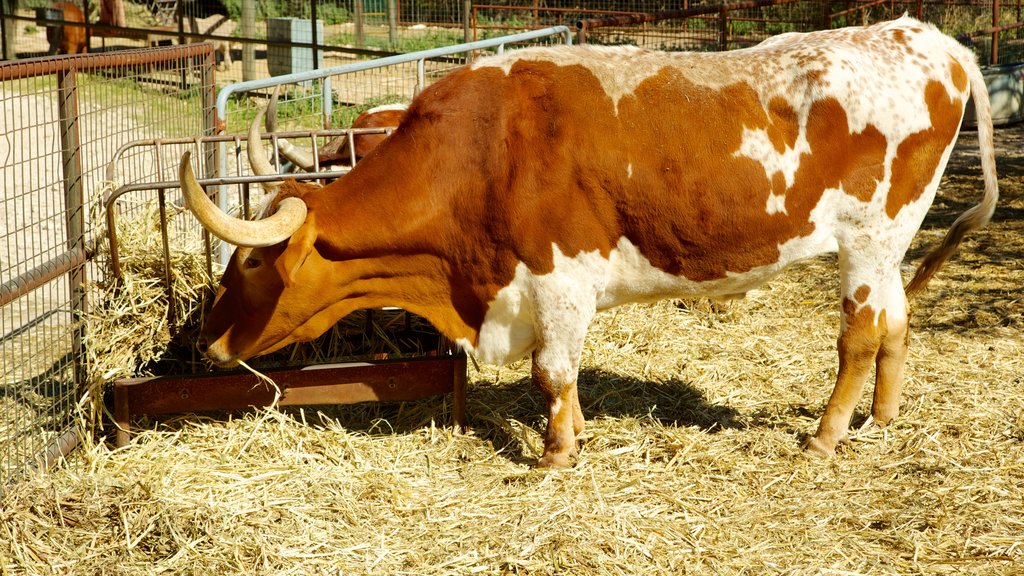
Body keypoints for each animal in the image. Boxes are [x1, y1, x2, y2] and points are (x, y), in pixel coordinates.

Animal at [180, 17, 995, 467]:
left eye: (249, 259)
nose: (205, 345)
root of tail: (926, 37)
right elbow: (563, 375)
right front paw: (574, 434)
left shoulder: (558, 279)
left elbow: (552, 371)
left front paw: (557, 453)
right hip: (891, 245)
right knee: (897, 321)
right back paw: (881, 420)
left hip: (868, 239)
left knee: (861, 334)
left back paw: (826, 436)